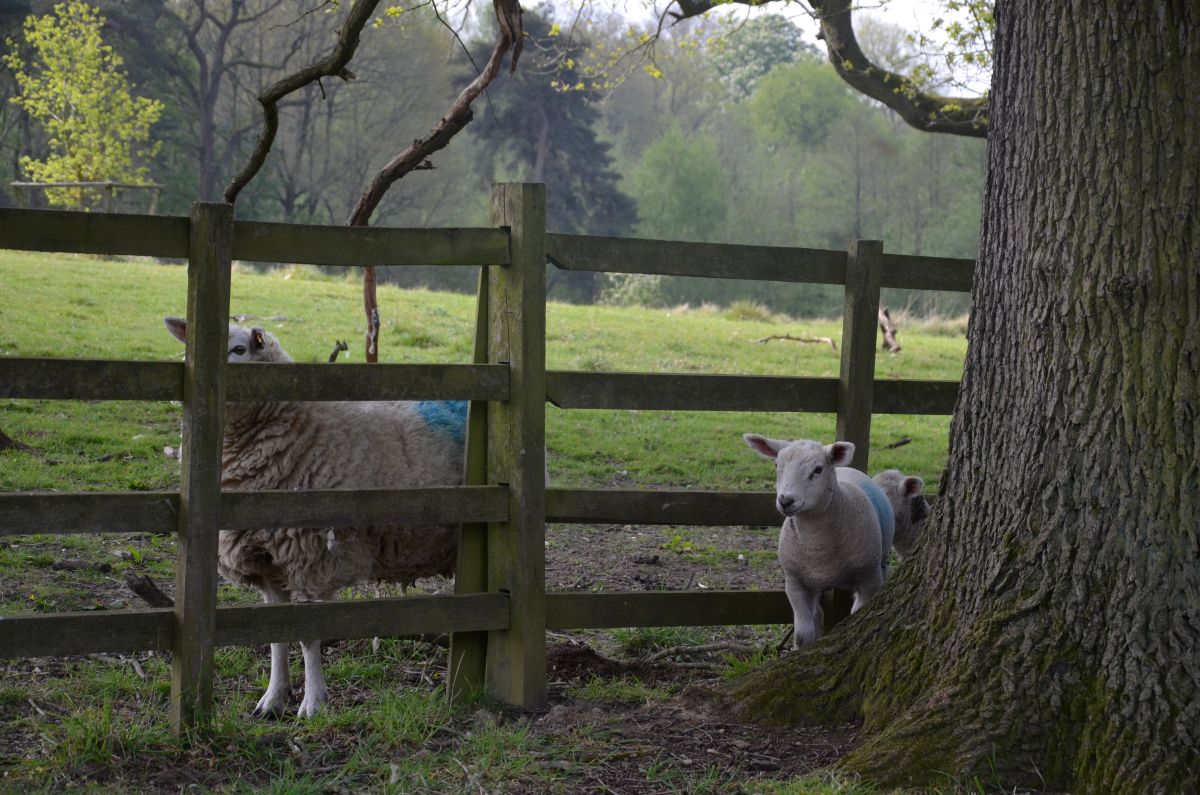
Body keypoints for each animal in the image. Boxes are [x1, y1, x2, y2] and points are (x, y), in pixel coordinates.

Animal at [164, 317, 464, 718]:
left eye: (240, 349)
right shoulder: (268, 564)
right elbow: (274, 636)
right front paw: (273, 699)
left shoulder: (310, 559)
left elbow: (308, 635)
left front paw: (313, 703)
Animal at [743, 436, 894, 649]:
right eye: (776, 465)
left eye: (818, 469)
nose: (785, 501)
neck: (818, 549)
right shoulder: (796, 583)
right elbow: (802, 634)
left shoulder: (868, 580)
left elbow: (854, 617)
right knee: (818, 614)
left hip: (880, 562)